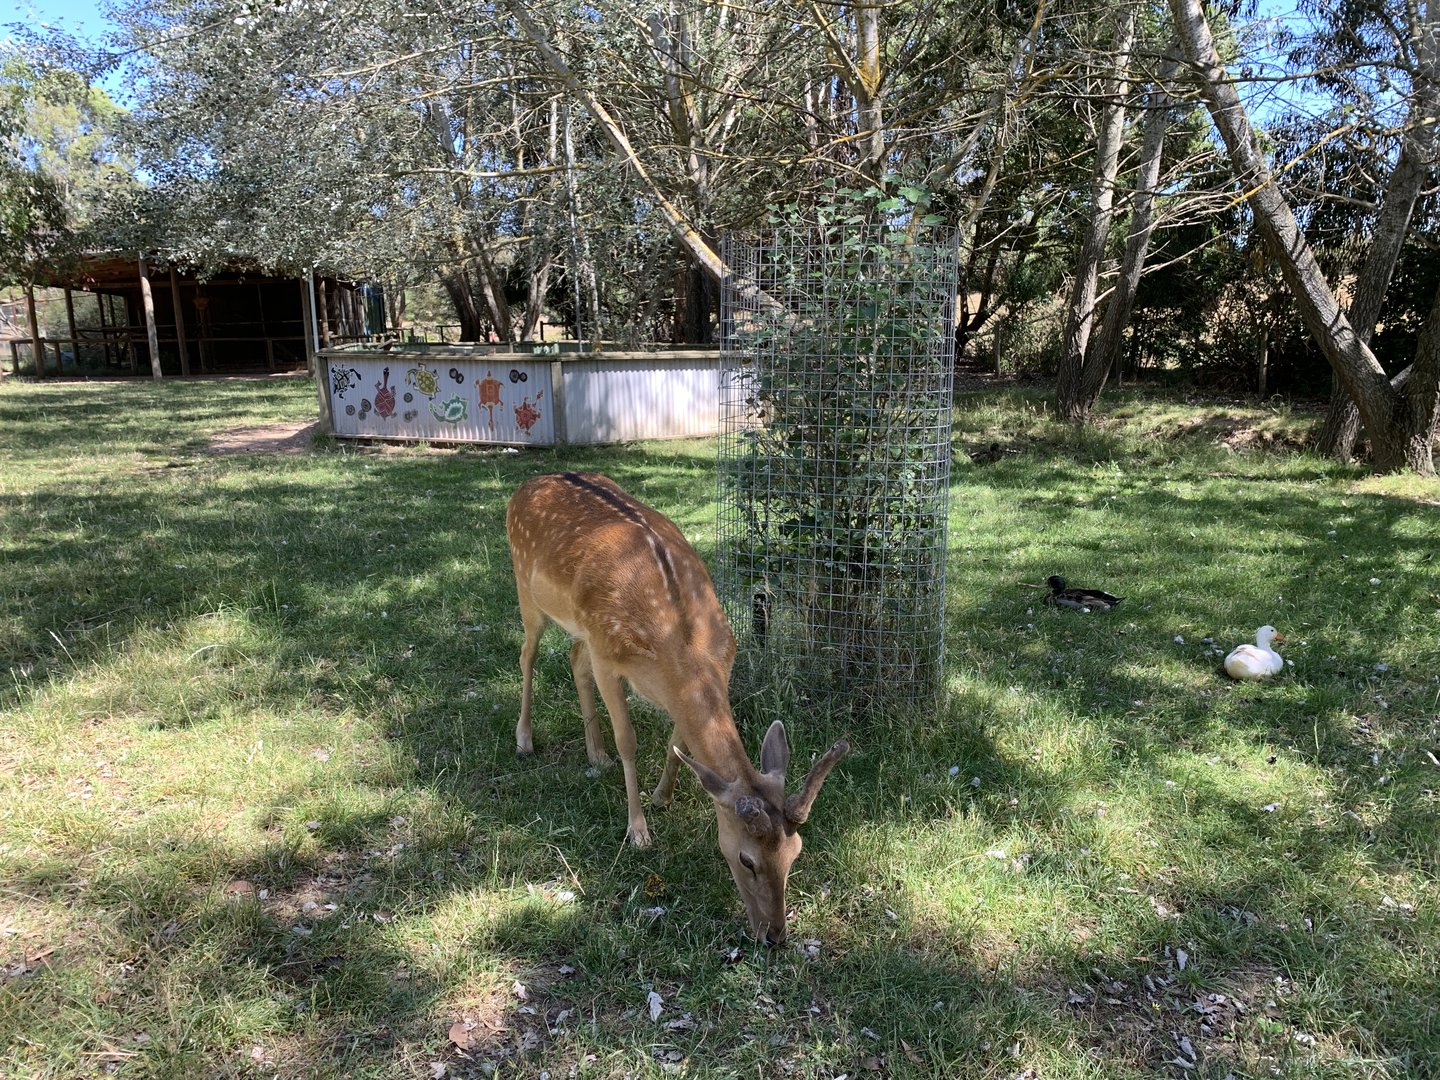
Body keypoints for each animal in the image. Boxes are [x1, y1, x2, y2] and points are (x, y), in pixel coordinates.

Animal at [506, 471, 849, 945]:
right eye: (746, 859)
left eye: (795, 853)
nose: (774, 936)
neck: (680, 650)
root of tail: (529, 483)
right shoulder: (608, 656)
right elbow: (629, 741)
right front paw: (638, 831)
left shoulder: (718, 664)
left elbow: (679, 742)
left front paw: (662, 796)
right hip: (527, 588)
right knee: (528, 654)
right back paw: (524, 739)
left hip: (577, 626)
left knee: (574, 659)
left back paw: (596, 755)